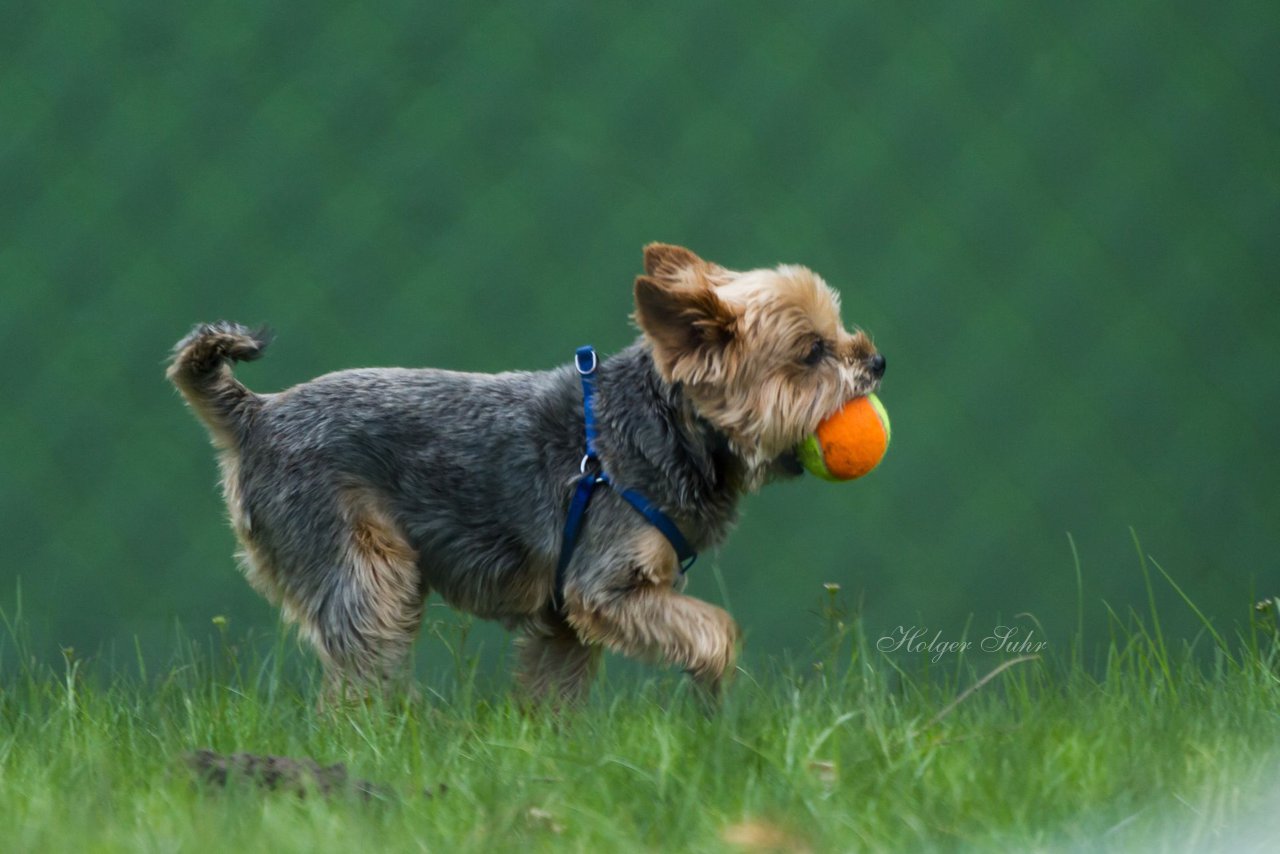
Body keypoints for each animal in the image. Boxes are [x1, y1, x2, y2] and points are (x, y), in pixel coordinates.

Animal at [167, 243, 890, 706]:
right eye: (812, 352)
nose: (877, 360)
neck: (670, 422)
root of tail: (257, 415)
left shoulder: (564, 618)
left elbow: (552, 696)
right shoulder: (607, 587)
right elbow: (716, 632)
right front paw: (713, 685)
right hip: (363, 564)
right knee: (358, 668)